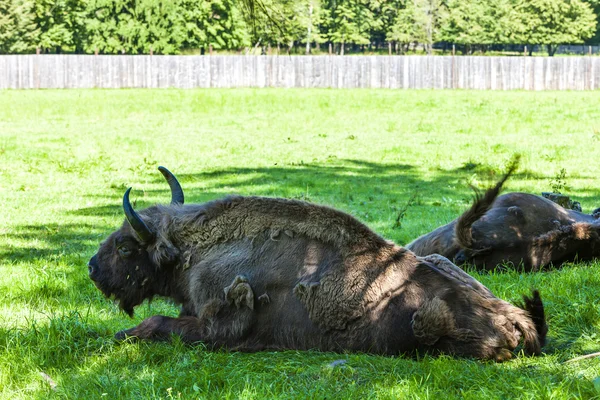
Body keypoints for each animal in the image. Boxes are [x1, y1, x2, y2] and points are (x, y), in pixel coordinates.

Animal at [88, 167, 548, 360]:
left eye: (126, 247)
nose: (93, 267)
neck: (193, 250)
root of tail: (518, 320)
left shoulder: (218, 327)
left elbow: (155, 323)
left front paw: (121, 336)